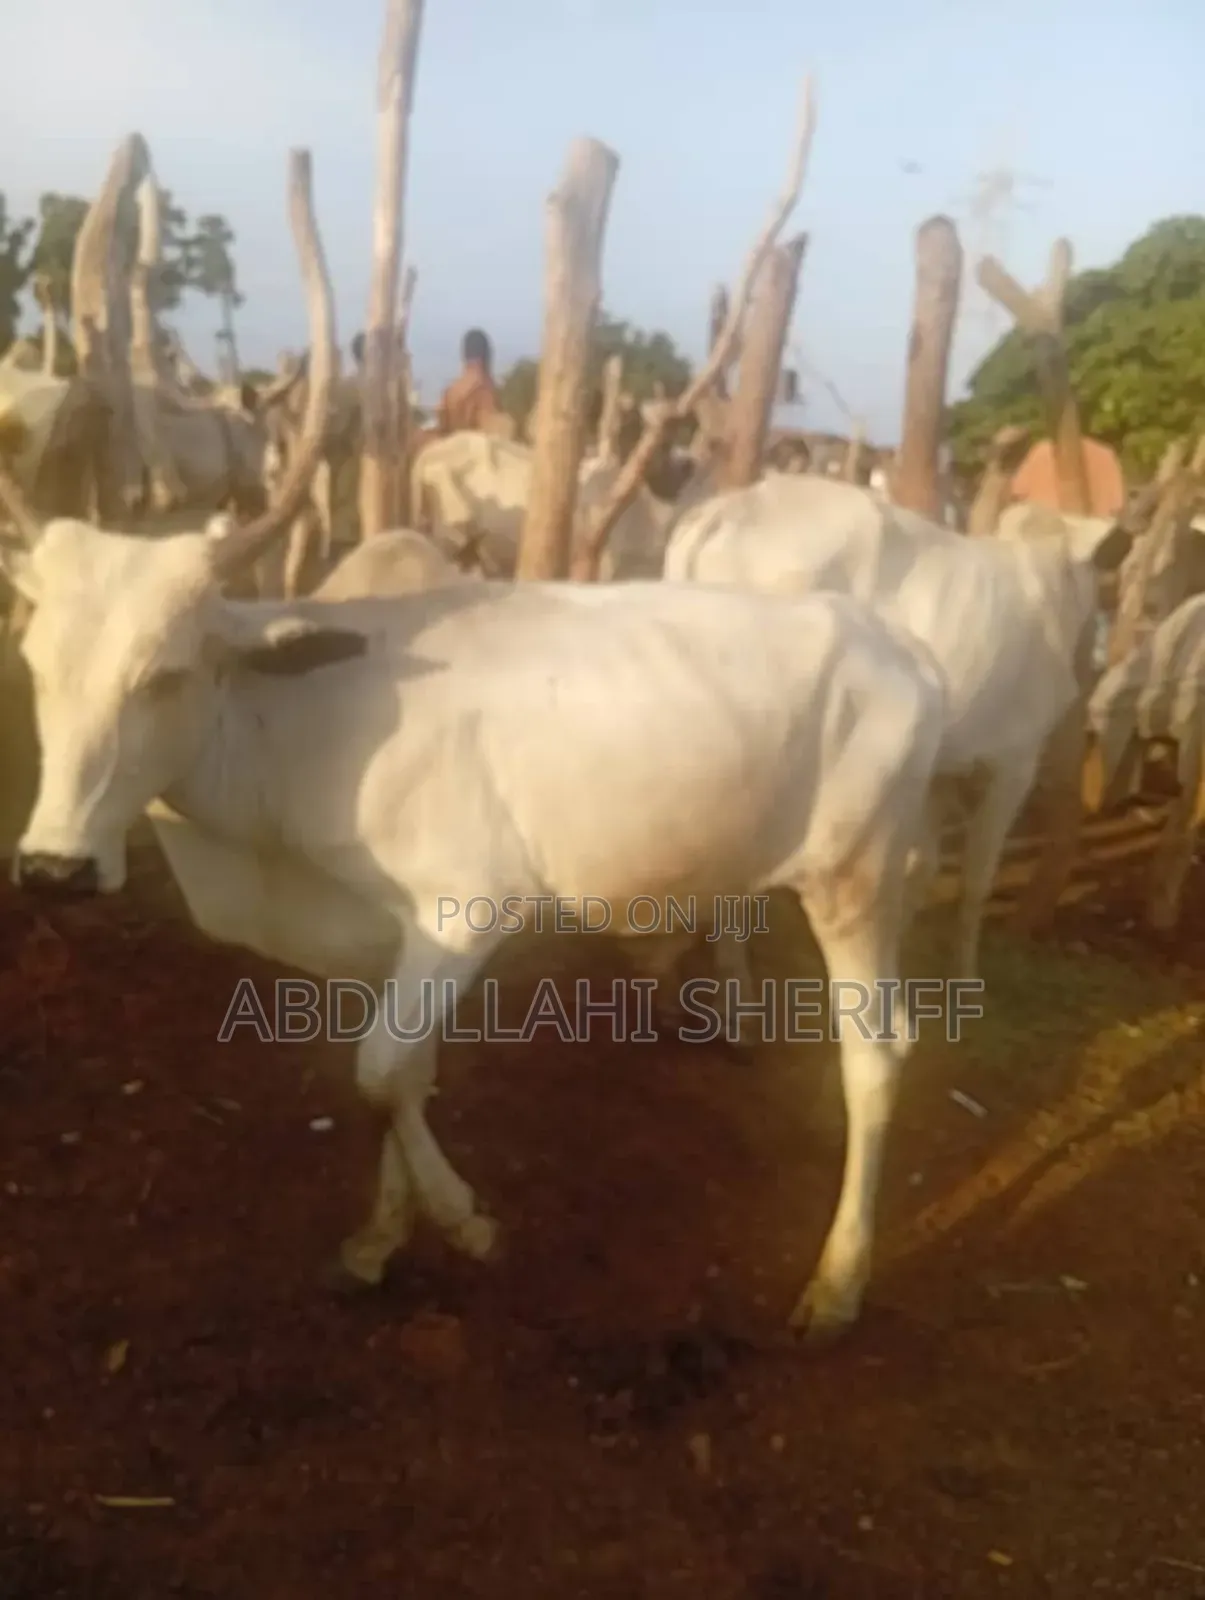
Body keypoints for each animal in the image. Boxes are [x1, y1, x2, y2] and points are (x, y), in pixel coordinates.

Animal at [663, 473, 1133, 979]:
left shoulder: (942, 768)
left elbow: (921, 866)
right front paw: (965, 974)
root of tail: (727, 509)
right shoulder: (1014, 762)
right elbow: (976, 878)